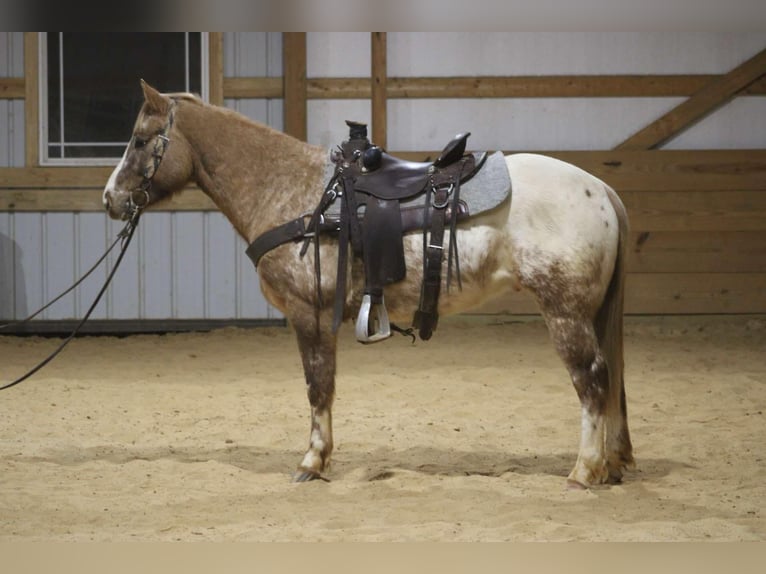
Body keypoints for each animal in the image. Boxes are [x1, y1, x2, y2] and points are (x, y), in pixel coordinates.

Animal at [103, 80, 634, 488]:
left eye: (141, 140)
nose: (110, 198)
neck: (294, 193)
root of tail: (601, 189)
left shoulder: (308, 314)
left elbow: (318, 386)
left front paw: (311, 462)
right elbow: (325, 387)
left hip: (565, 314)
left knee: (592, 380)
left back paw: (584, 471)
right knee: (609, 381)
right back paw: (611, 464)